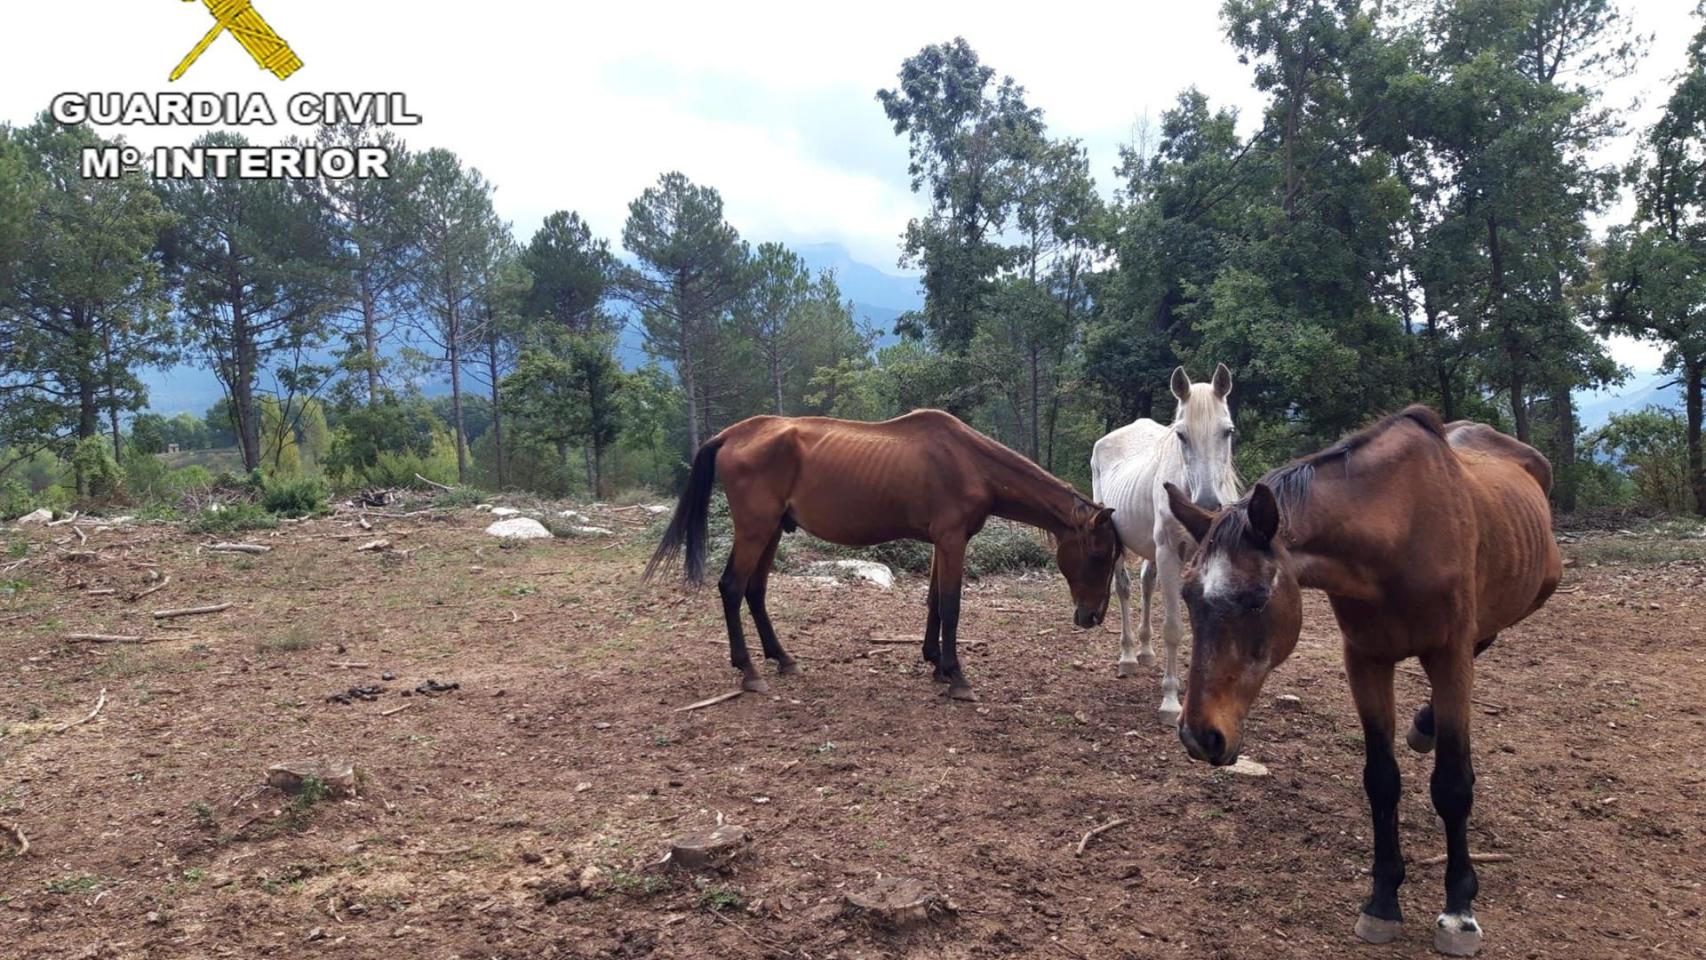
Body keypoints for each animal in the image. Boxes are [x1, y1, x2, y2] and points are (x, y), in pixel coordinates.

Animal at [645, 409, 1123, 702]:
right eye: (1099, 554)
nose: (1093, 616)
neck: (969, 463)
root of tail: (731, 434)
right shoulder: (952, 540)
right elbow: (951, 605)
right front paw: (958, 677)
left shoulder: (942, 542)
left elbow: (934, 603)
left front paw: (937, 664)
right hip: (755, 529)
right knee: (731, 587)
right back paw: (748, 671)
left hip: (771, 532)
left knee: (755, 591)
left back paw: (782, 659)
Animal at [1091, 364, 1240, 725]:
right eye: (1181, 435)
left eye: (1227, 431)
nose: (1208, 506)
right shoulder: (1170, 554)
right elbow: (1173, 628)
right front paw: (1171, 702)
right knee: (1125, 588)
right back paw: (1129, 656)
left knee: (1146, 584)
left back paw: (1145, 652)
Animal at [1163, 406, 1560, 957]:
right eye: (1188, 597)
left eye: (1258, 598)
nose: (1199, 736)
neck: (1399, 535)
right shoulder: (1365, 660)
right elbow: (1381, 779)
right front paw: (1383, 900)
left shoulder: (1450, 658)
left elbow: (1453, 784)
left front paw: (1459, 910)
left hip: (1537, 590)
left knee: (1490, 632)